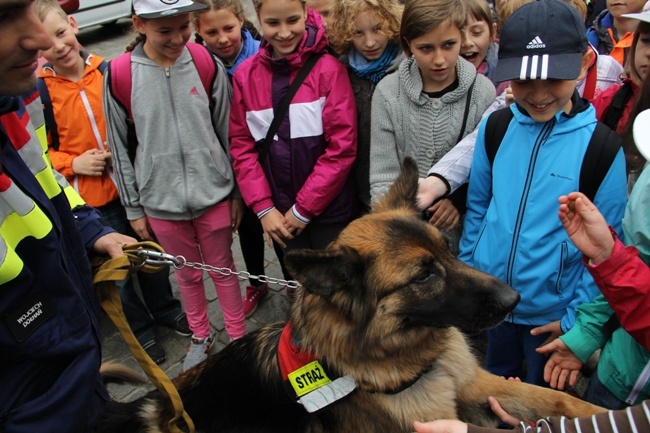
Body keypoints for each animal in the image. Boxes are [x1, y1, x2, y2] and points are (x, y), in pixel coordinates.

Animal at [98, 158, 604, 432]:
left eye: (447, 248)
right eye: (423, 276)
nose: (514, 300)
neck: (414, 362)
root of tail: (152, 406)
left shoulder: (476, 383)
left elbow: (560, 402)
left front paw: (599, 410)